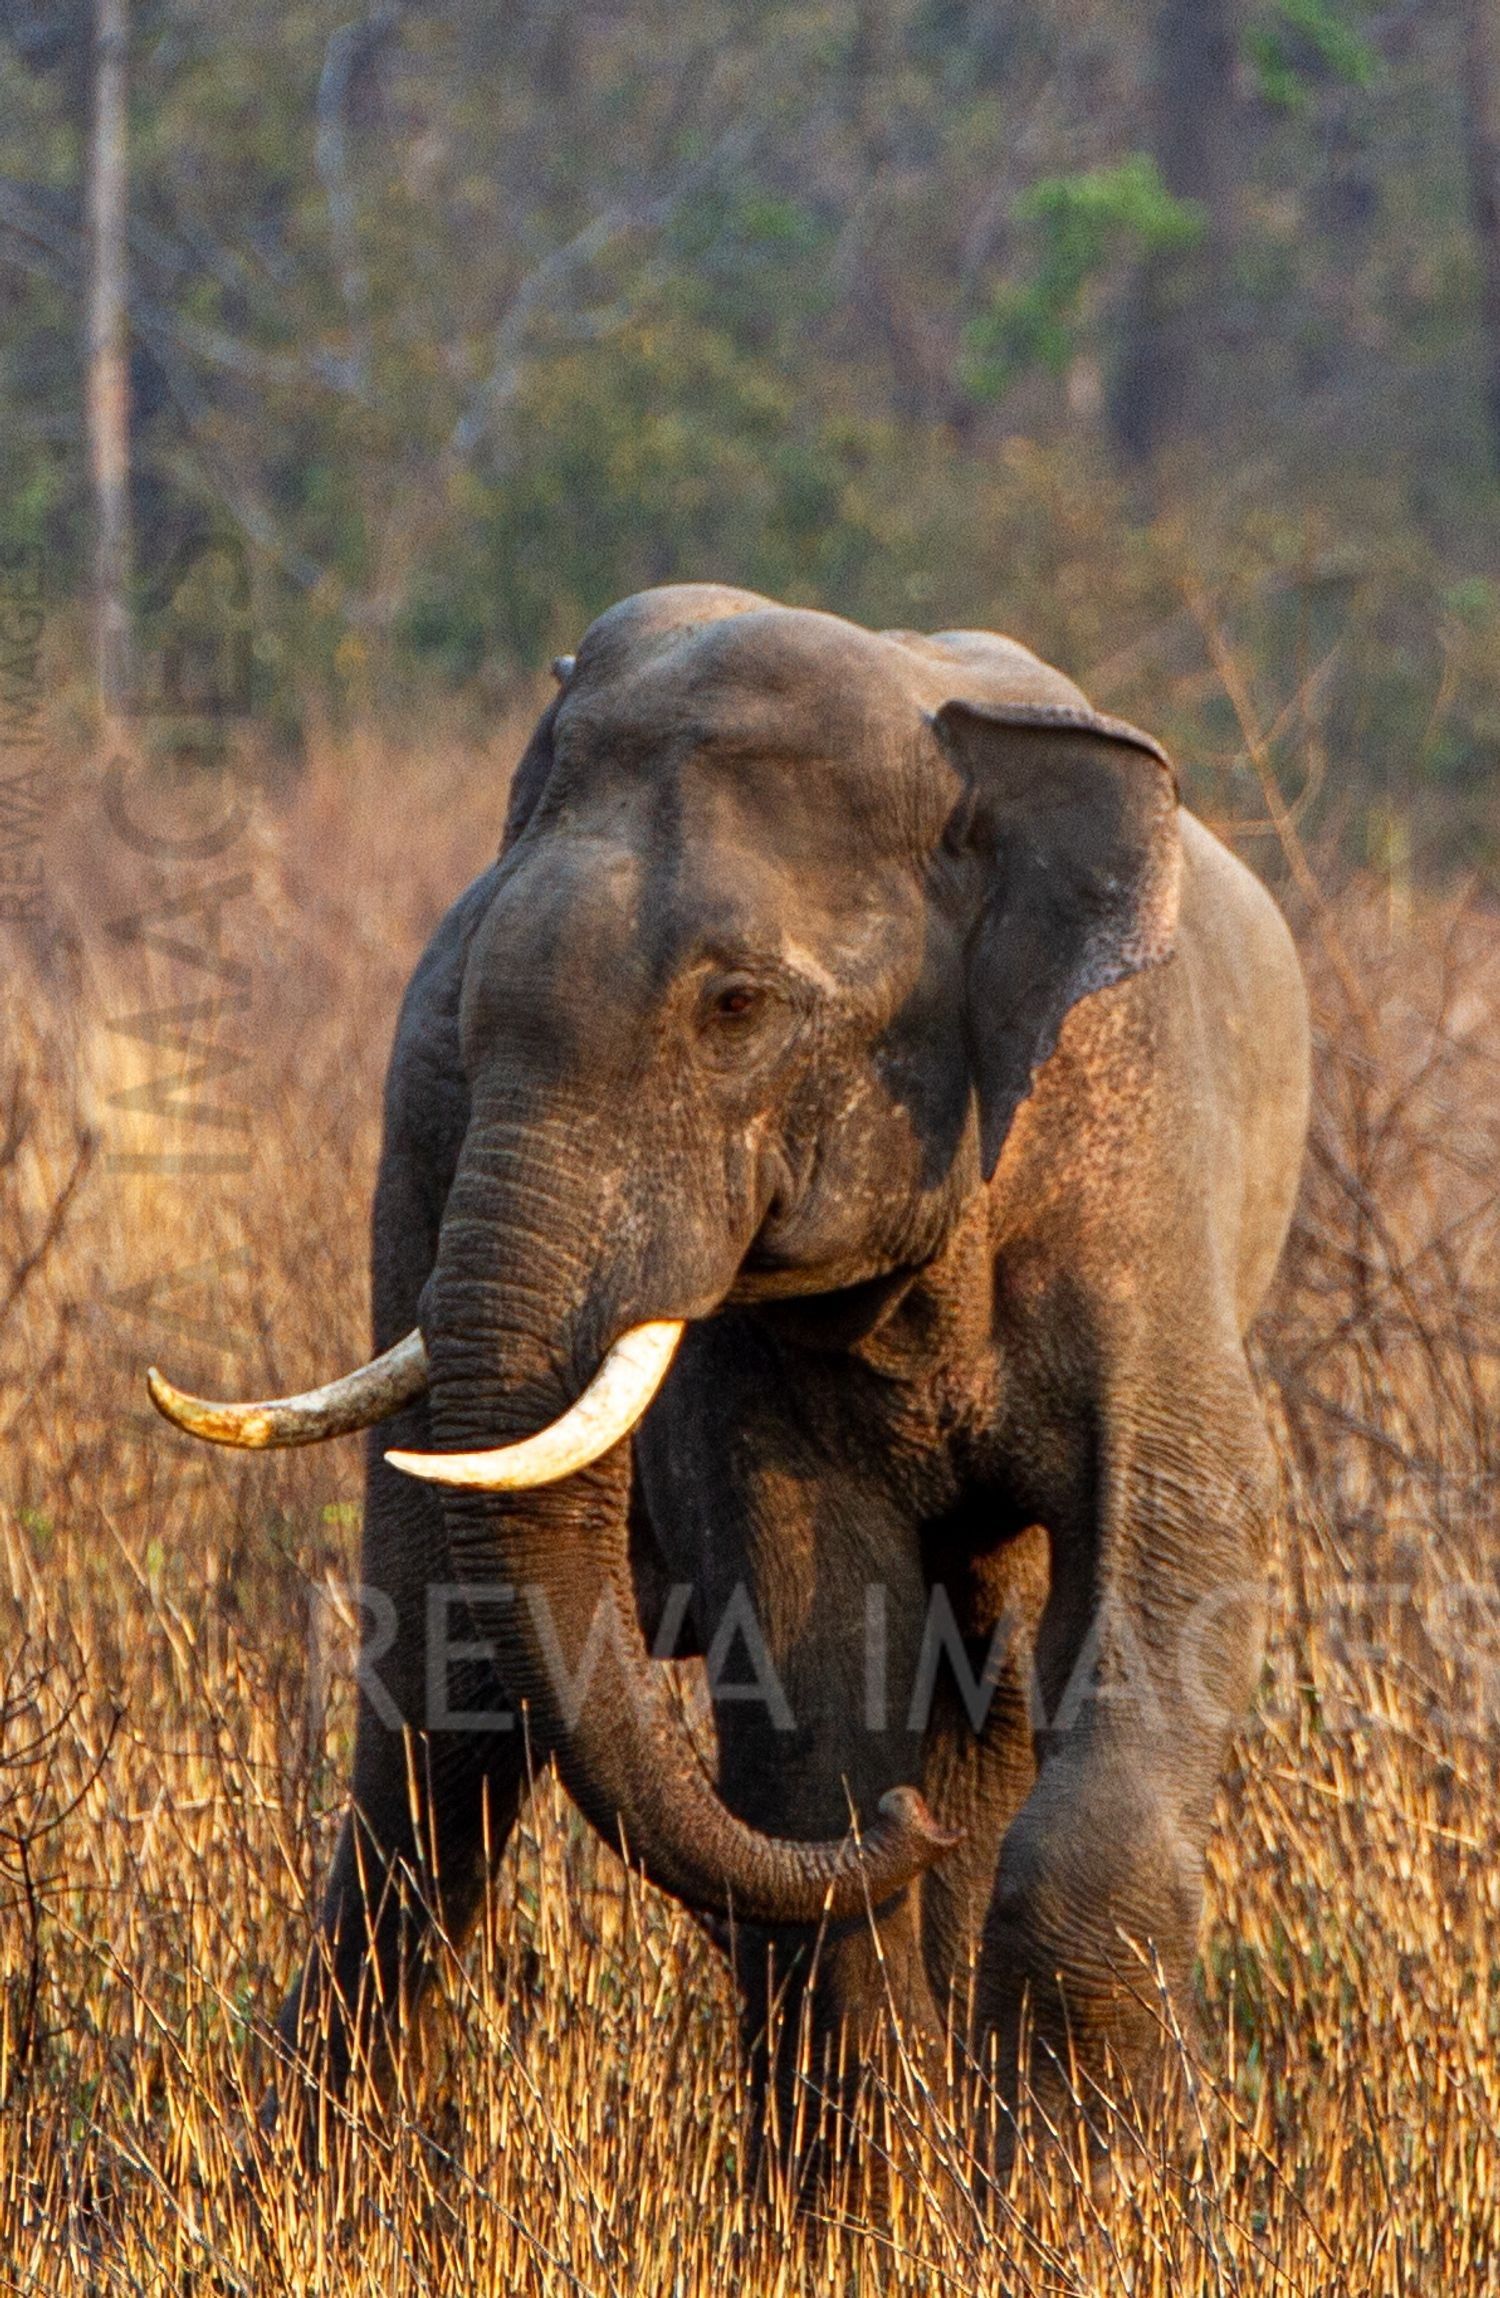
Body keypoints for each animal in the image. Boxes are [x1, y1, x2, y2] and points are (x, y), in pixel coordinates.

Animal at [148, 583, 1310, 2175]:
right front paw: (882, 2197)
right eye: (474, 1007)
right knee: (440, 1728)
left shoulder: (1138, 1157)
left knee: (991, 1686)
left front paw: (1097, 2184)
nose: (909, 1830)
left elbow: (1184, 1530)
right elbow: (811, 1641)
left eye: (739, 1007)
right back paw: (318, 2170)